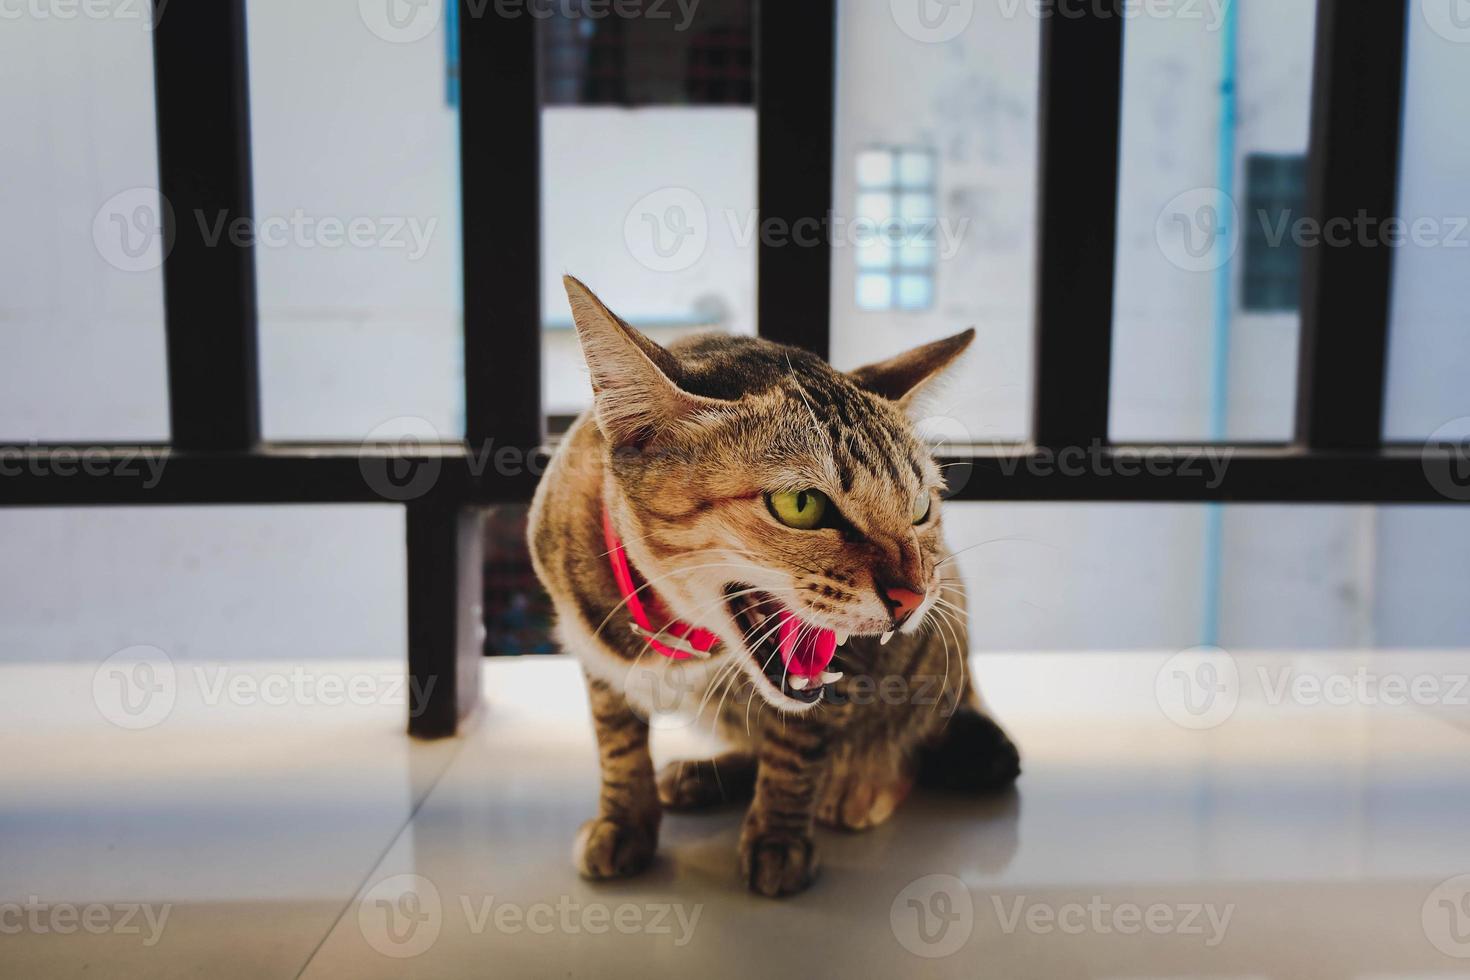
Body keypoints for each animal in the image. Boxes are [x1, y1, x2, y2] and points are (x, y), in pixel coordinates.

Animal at [529, 274, 1023, 899]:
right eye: (800, 504)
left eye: (920, 508)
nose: (912, 597)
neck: (686, 639)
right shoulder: (592, 655)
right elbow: (617, 743)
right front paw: (624, 821)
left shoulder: (846, 664)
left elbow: (796, 749)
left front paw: (778, 836)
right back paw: (703, 775)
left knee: (916, 743)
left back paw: (859, 787)